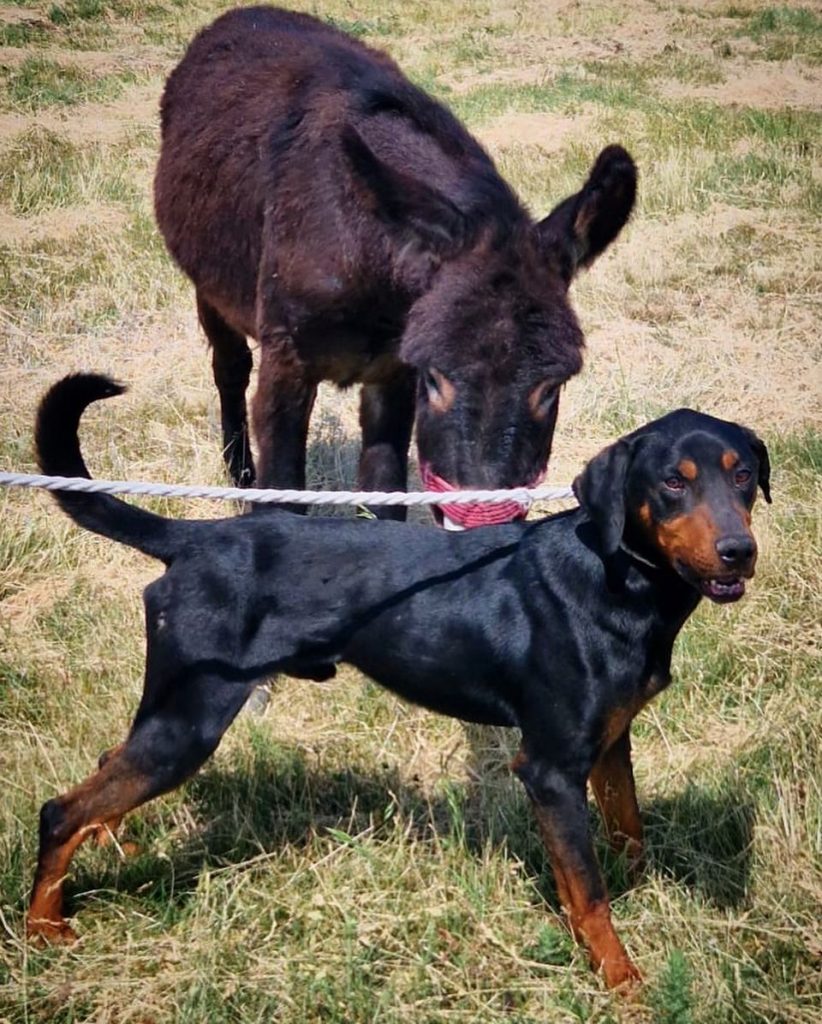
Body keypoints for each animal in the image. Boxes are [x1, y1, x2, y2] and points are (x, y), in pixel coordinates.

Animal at [25, 372, 769, 987]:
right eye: (672, 482)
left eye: (743, 476)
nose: (740, 551)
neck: (617, 575)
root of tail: (193, 538)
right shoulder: (552, 770)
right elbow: (586, 893)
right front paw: (621, 979)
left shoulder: (612, 742)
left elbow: (628, 830)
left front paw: (641, 897)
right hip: (190, 720)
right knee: (60, 809)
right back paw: (42, 929)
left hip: (174, 716)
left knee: (105, 767)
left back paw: (111, 847)